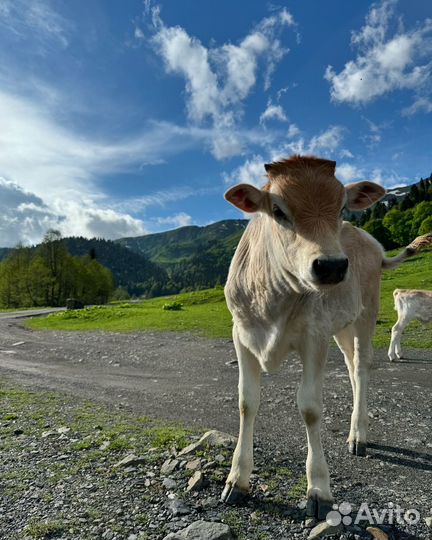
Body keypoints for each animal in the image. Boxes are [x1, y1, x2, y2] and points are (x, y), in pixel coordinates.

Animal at [221, 156, 430, 520]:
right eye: (278, 210)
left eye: (342, 208)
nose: (331, 266)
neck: (271, 298)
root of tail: (371, 242)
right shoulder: (241, 334)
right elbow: (247, 402)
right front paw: (237, 479)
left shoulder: (313, 336)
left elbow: (310, 407)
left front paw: (318, 489)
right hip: (341, 327)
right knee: (350, 368)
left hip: (365, 313)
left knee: (361, 366)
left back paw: (359, 434)